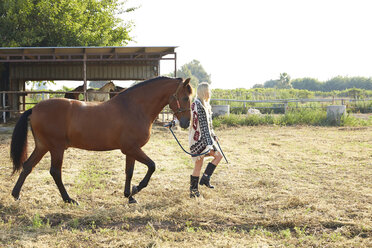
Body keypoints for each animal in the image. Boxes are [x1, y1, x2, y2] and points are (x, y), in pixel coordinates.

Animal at [10, 76, 193, 204]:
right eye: (185, 98)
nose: (186, 123)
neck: (134, 108)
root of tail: (34, 109)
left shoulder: (131, 150)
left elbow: (129, 171)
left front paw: (129, 196)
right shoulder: (132, 149)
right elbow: (152, 166)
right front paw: (136, 189)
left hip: (43, 146)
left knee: (27, 166)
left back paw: (16, 195)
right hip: (56, 148)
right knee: (55, 172)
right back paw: (69, 199)